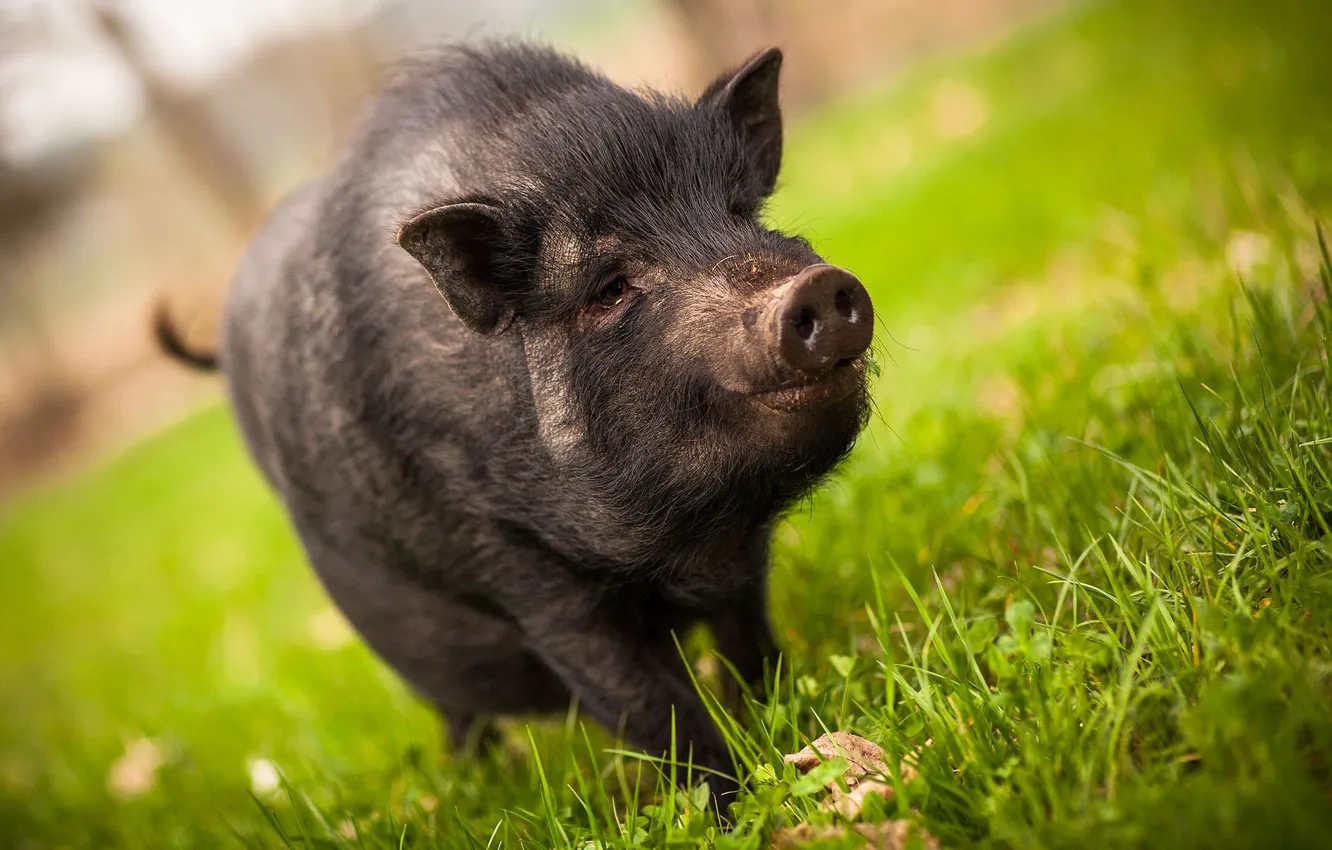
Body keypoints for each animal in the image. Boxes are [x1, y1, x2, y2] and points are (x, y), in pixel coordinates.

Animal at [156, 41, 874, 806]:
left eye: (743, 214)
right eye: (609, 288)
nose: (815, 286)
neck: (687, 543)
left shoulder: (744, 553)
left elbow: (750, 643)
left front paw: (780, 727)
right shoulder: (521, 570)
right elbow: (652, 706)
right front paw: (726, 805)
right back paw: (468, 782)